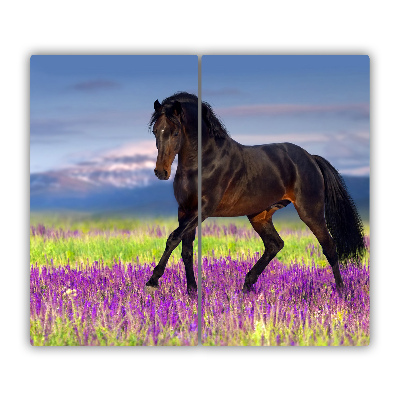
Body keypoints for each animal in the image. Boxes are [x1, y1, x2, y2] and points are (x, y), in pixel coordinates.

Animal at [147, 92, 366, 296]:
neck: (204, 162)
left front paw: (153, 280)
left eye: (175, 132)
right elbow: (186, 250)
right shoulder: (185, 210)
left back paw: (341, 291)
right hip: (260, 215)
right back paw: (246, 286)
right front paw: (192, 291)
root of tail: (311, 158)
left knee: (329, 246)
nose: (161, 172)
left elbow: (173, 238)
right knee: (275, 244)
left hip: (310, 212)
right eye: (155, 130)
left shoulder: (202, 209)